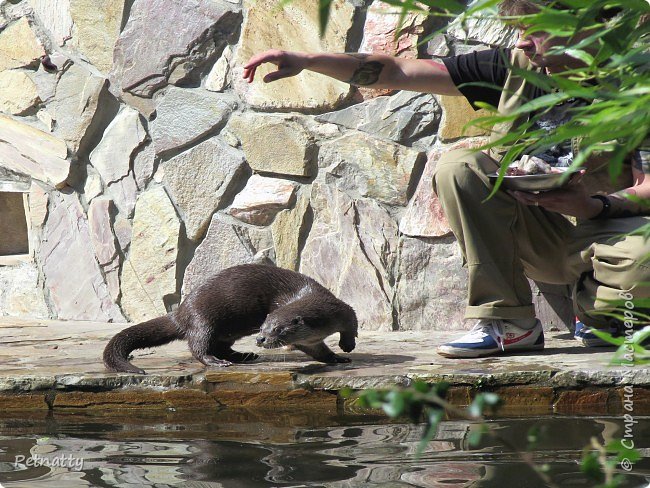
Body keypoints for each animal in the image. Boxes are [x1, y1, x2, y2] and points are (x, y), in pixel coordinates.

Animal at [102, 264, 356, 374]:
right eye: (262, 327)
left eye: (276, 329)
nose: (260, 339)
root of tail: (181, 312)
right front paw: (345, 347)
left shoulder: (340, 310)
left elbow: (345, 329)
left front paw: (342, 351)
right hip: (203, 321)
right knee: (199, 347)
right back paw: (218, 361)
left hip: (227, 331)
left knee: (221, 346)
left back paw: (244, 356)